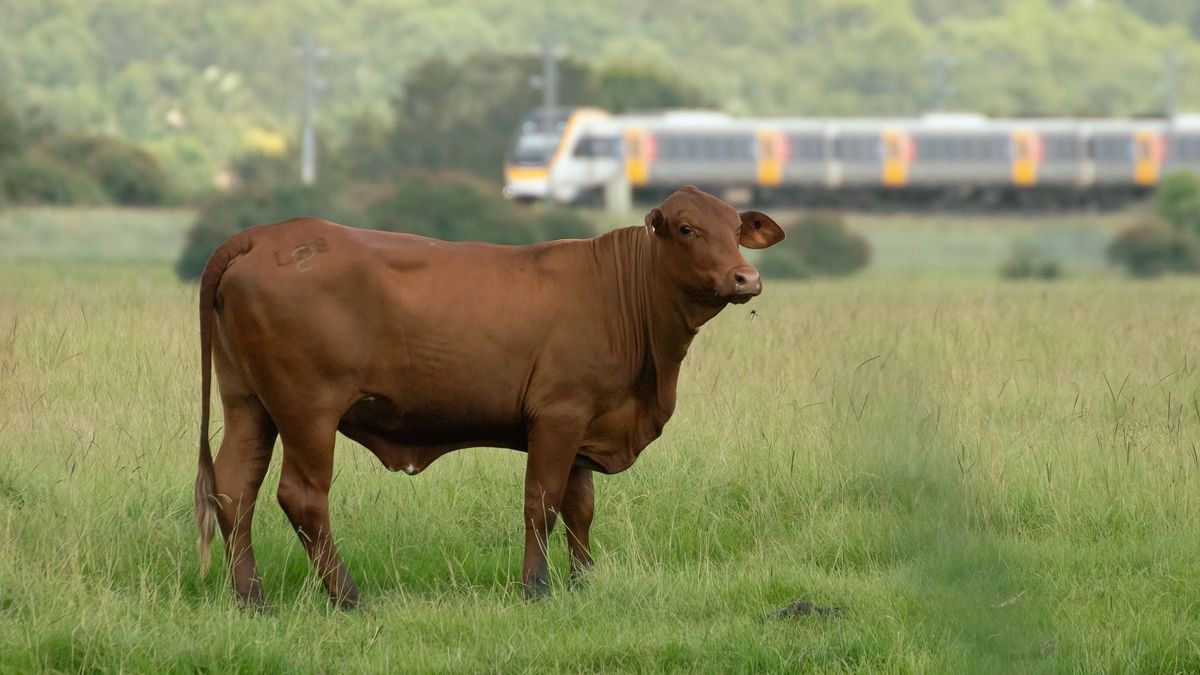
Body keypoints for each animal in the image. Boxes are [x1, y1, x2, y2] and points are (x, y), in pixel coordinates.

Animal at [196, 183, 787, 605]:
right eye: (688, 228)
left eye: (736, 229)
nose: (746, 278)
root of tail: (265, 235)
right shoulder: (558, 416)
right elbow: (542, 502)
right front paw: (536, 588)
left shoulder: (586, 426)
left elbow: (580, 509)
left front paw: (584, 583)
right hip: (307, 412)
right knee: (302, 496)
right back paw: (348, 596)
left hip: (249, 404)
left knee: (235, 488)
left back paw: (251, 598)